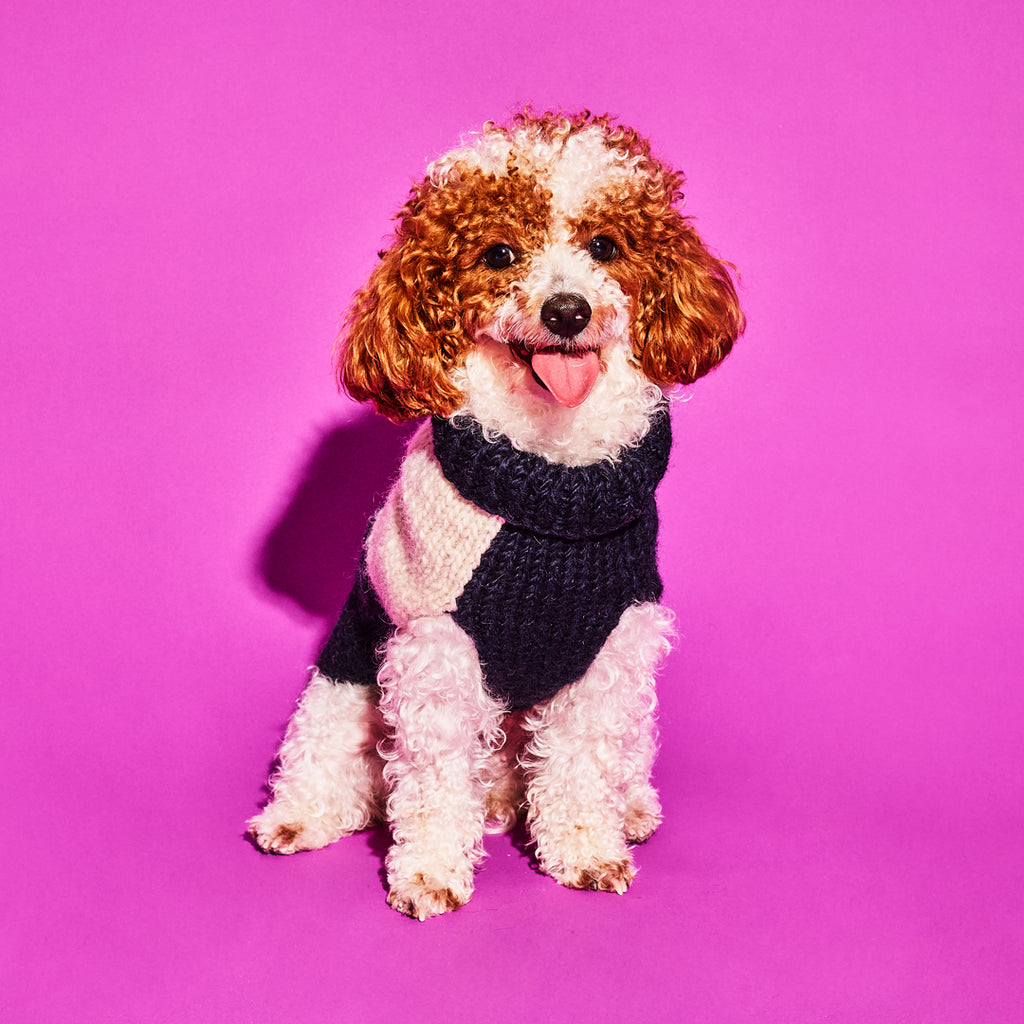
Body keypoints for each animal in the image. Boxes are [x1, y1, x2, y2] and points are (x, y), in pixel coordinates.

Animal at [247, 110, 745, 921]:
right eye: (499, 254)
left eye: (605, 246)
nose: (567, 311)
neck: (550, 480)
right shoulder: (435, 648)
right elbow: (435, 777)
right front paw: (427, 871)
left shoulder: (609, 648)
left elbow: (581, 764)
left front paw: (585, 849)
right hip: (341, 688)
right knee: (332, 758)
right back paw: (300, 814)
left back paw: (627, 806)